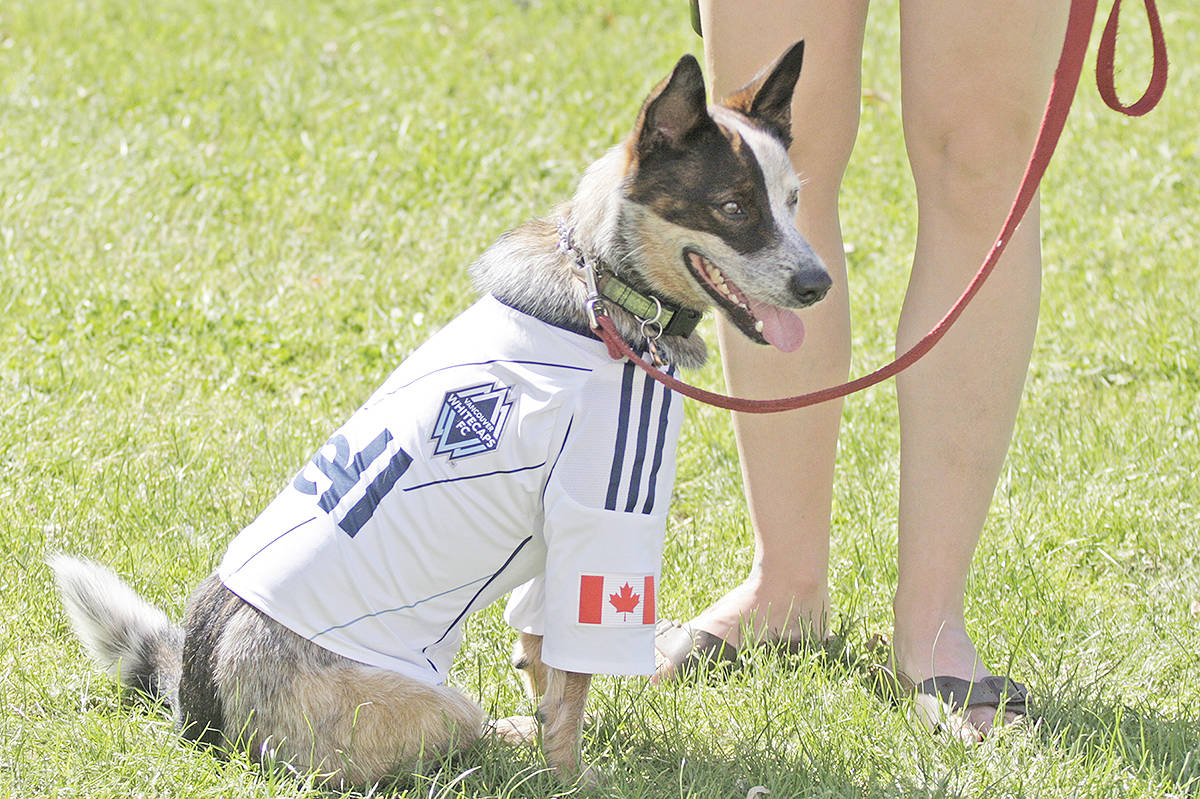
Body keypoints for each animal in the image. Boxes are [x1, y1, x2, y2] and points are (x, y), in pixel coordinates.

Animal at [51, 40, 830, 787]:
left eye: (794, 200)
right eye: (734, 207)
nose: (819, 283)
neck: (602, 288)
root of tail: (198, 703)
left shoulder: (558, 544)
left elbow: (546, 661)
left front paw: (552, 743)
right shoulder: (604, 523)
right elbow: (572, 685)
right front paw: (572, 776)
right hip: (443, 702)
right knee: (464, 735)